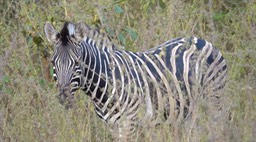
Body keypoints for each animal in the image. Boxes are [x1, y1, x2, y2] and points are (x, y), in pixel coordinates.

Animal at [44, 21, 228, 140]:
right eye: (53, 63)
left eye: (77, 63)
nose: (64, 98)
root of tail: (202, 40)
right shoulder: (112, 126)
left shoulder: (129, 123)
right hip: (189, 109)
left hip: (215, 100)